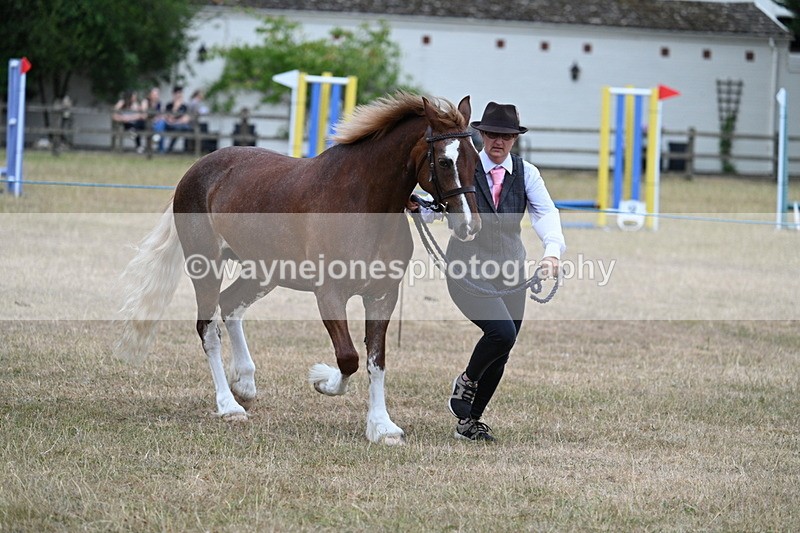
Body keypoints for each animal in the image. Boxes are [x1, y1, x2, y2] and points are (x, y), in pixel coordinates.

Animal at [115, 92, 482, 445]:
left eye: (476, 159)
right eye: (445, 160)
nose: (469, 226)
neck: (362, 203)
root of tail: (195, 170)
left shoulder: (382, 296)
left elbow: (376, 362)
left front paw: (382, 427)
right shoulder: (330, 295)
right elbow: (348, 358)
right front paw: (322, 379)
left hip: (262, 272)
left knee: (230, 305)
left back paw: (244, 383)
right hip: (206, 266)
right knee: (208, 329)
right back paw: (229, 405)